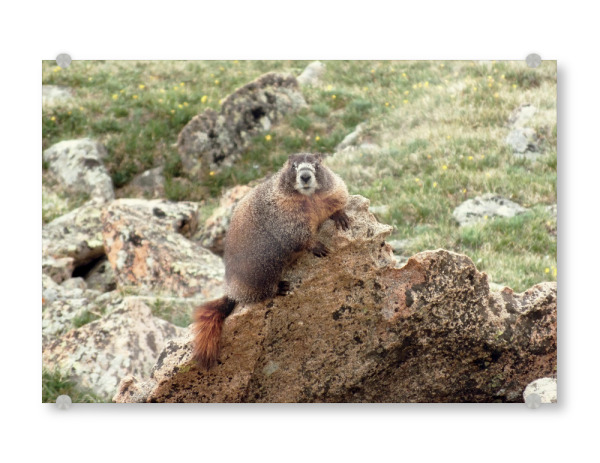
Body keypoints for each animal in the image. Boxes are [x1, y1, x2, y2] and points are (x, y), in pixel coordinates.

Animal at [192, 152, 350, 369]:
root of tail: (232, 291)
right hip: (261, 269)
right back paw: (279, 287)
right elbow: (295, 233)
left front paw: (341, 216)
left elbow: (338, 196)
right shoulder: (284, 212)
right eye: (293, 166)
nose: (305, 176)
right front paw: (316, 246)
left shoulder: (330, 192)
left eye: (317, 165)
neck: (309, 198)